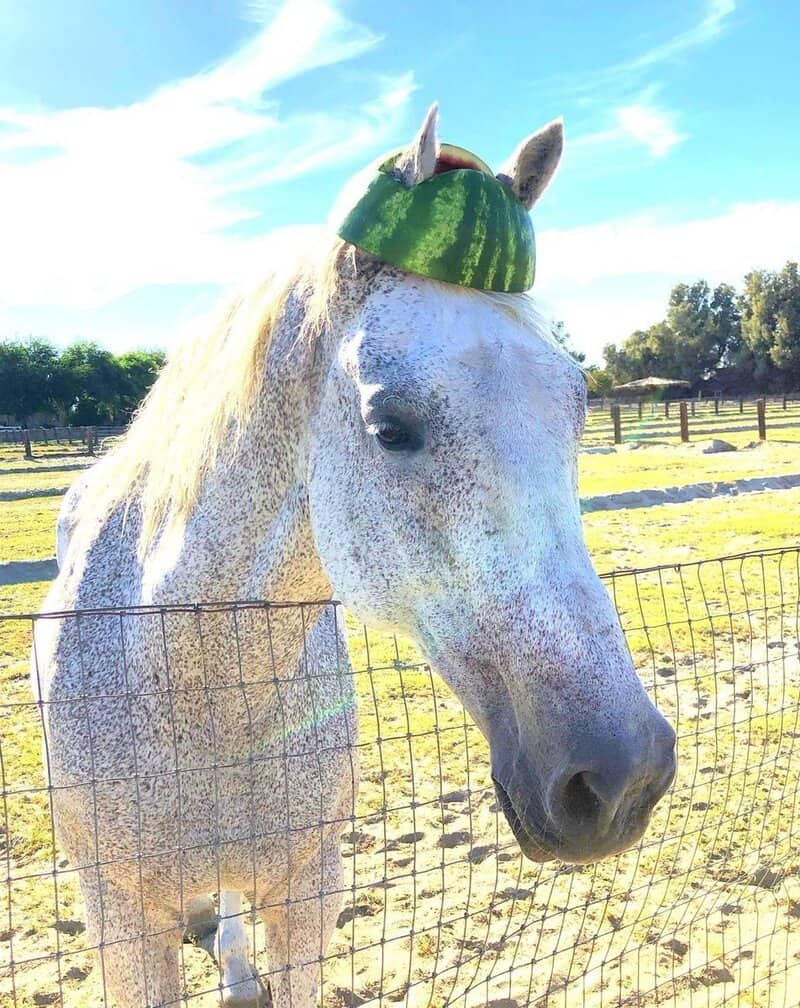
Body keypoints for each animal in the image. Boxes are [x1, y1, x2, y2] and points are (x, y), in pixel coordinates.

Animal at [34, 108, 676, 1008]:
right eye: (390, 427)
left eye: (579, 407)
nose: (622, 778)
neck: (182, 681)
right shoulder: (123, 926)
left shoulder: (311, 893)